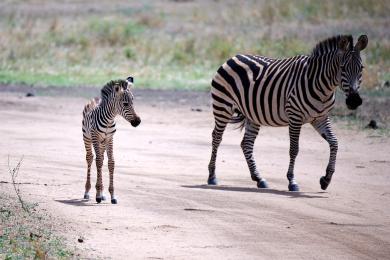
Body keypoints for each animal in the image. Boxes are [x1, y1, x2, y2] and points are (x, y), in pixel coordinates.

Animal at [209, 34, 368, 191]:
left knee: (246, 144)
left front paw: (326, 179)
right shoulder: (295, 116)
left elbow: (334, 142)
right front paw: (292, 181)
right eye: (342, 68)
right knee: (217, 137)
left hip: (252, 115)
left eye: (361, 68)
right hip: (222, 106)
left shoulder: (320, 118)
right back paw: (212, 176)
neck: (323, 87)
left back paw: (259, 179)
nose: (354, 101)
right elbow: (294, 149)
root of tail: (234, 57)